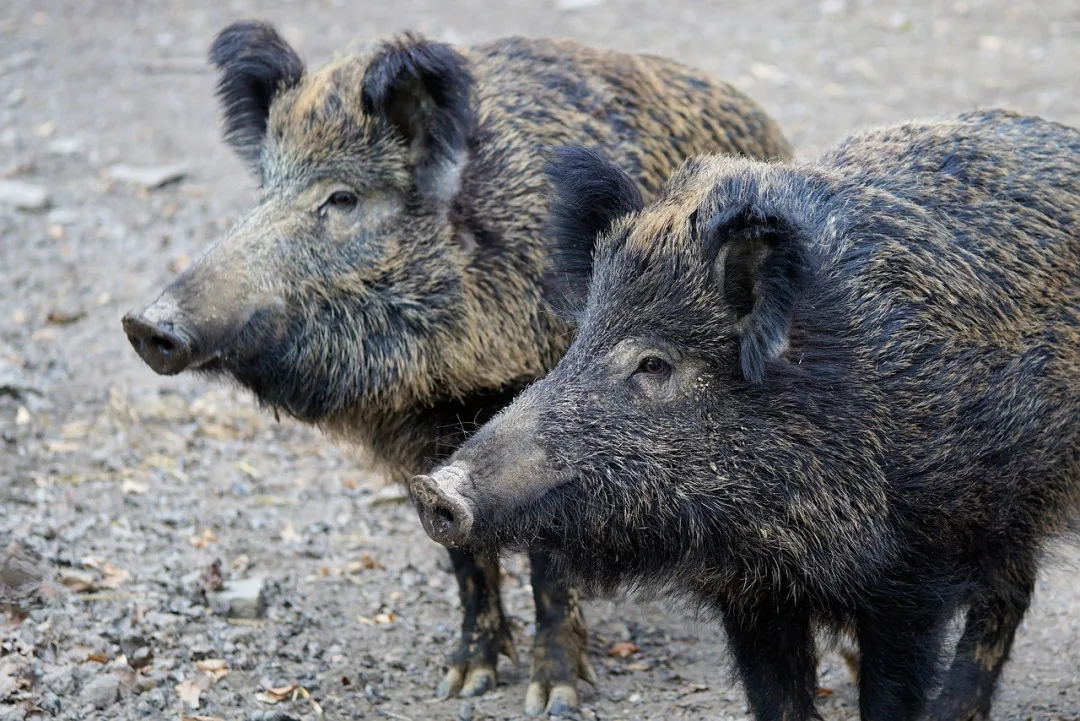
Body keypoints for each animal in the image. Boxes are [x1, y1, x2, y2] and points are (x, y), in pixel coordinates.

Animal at [120, 20, 793, 715]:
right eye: (264, 191)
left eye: (343, 197)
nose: (145, 324)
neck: (453, 379)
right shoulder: (423, 445)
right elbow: (463, 558)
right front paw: (464, 680)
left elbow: (546, 564)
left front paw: (552, 697)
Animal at [411, 109, 1080, 720]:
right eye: (578, 341)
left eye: (653, 364)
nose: (431, 489)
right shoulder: (751, 592)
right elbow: (778, 700)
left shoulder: (912, 578)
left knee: (1007, 596)